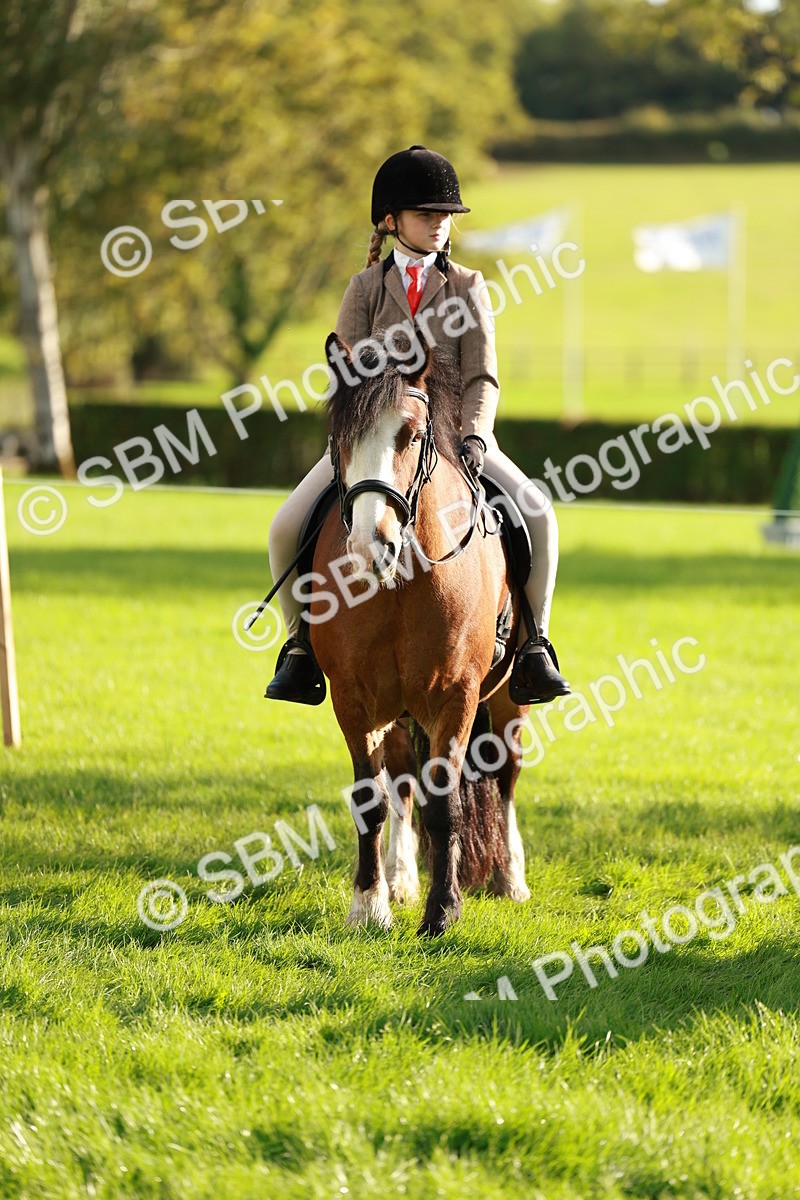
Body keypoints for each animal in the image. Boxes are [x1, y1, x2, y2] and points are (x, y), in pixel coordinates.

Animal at [310, 330, 532, 936]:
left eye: (410, 434)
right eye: (339, 439)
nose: (371, 546)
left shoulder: (456, 696)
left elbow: (446, 804)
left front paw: (442, 911)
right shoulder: (354, 698)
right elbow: (371, 799)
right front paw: (370, 906)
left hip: (507, 700)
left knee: (504, 777)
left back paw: (510, 877)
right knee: (403, 780)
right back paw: (401, 877)